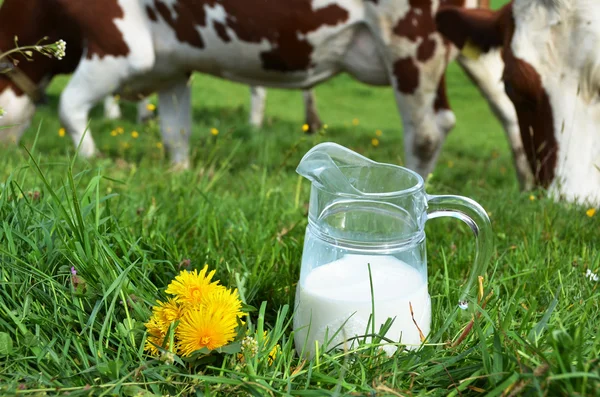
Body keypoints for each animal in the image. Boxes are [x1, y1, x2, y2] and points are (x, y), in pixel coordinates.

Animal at [0, 0, 536, 187]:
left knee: (427, 130)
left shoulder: (122, 42)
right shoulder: (172, 64)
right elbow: (176, 131)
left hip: (411, 38)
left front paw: (95, 164)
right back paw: (528, 183)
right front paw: (179, 176)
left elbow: (70, 106)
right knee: (507, 105)